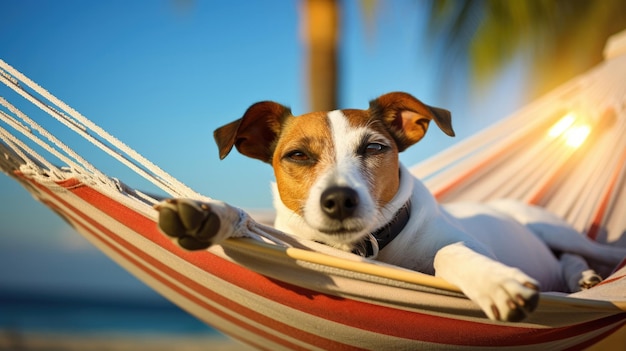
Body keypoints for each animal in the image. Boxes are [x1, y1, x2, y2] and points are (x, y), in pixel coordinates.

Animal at [156, 92, 624, 324]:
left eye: (374, 148)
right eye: (298, 156)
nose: (338, 199)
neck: (370, 249)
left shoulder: (469, 246)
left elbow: (449, 252)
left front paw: (496, 283)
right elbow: (247, 218)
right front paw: (207, 211)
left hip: (554, 229)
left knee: (588, 250)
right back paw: (582, 278)